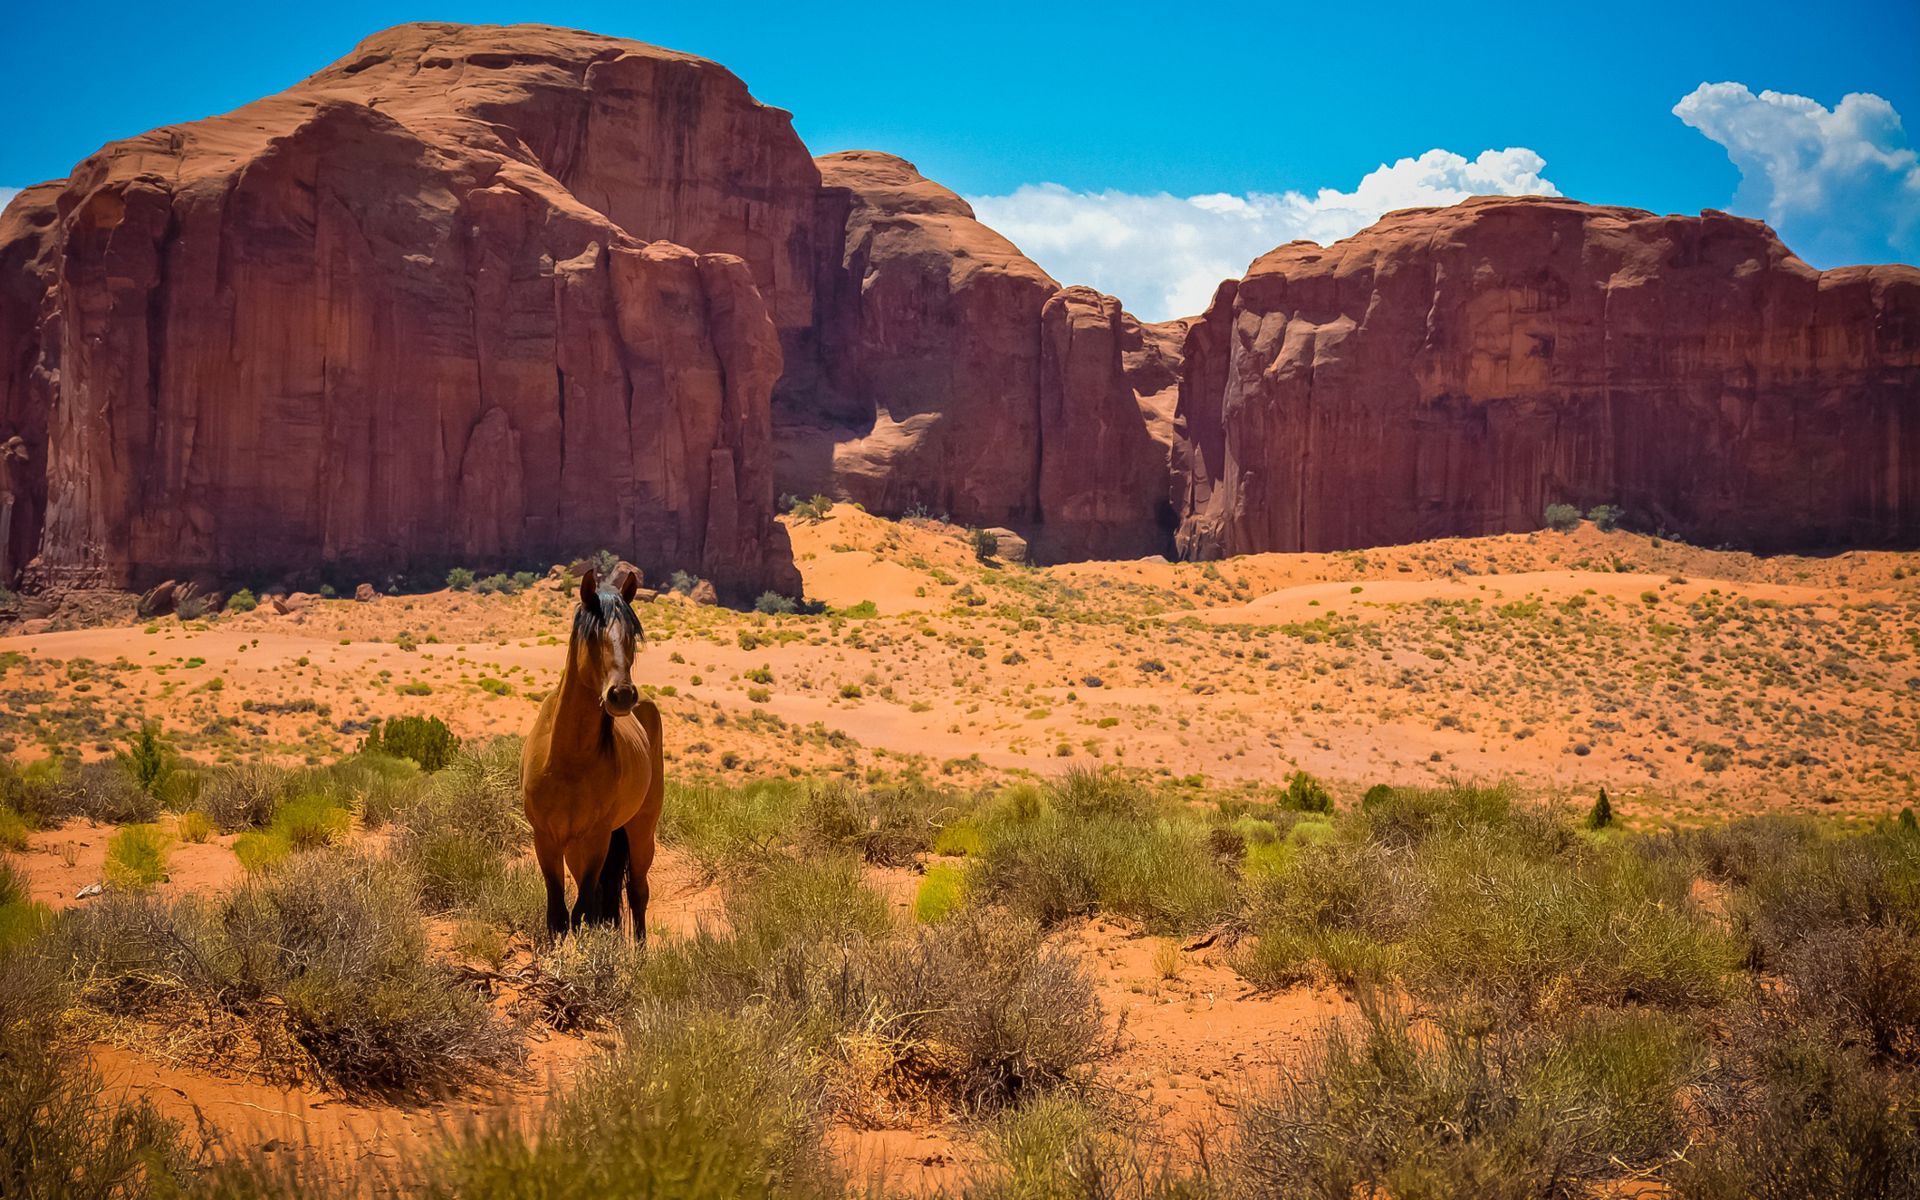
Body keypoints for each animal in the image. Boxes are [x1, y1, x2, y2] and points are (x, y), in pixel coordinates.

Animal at [522, 568, 664, 936]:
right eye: (593, 636)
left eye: (632, 636)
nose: (621, 695)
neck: (568, 761)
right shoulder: (546, 839)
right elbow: (558, 916)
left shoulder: (597, 839)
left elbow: (583, 910)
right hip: (576, 848)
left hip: (640, 829)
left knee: (637, 891)